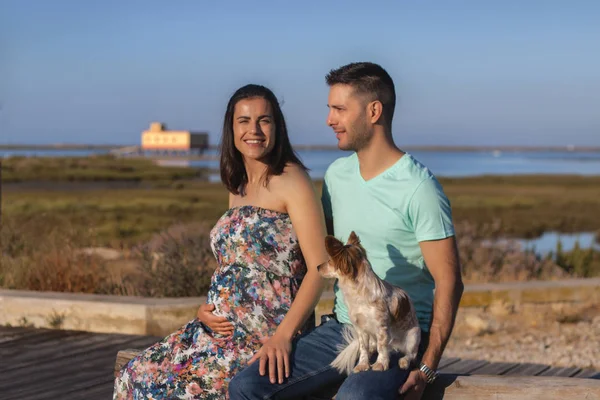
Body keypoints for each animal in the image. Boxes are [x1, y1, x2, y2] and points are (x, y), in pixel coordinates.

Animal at [316, 231, 420, 376]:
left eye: (330, 261)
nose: (317, 267)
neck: (358, 294)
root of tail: (395, 345)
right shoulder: (361, 329)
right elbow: (363, 348)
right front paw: (363, 365)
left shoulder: (381, 328)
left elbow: (382, 347)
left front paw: (381, 364)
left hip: (413, 336)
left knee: (411, 354)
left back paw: (404, 361)